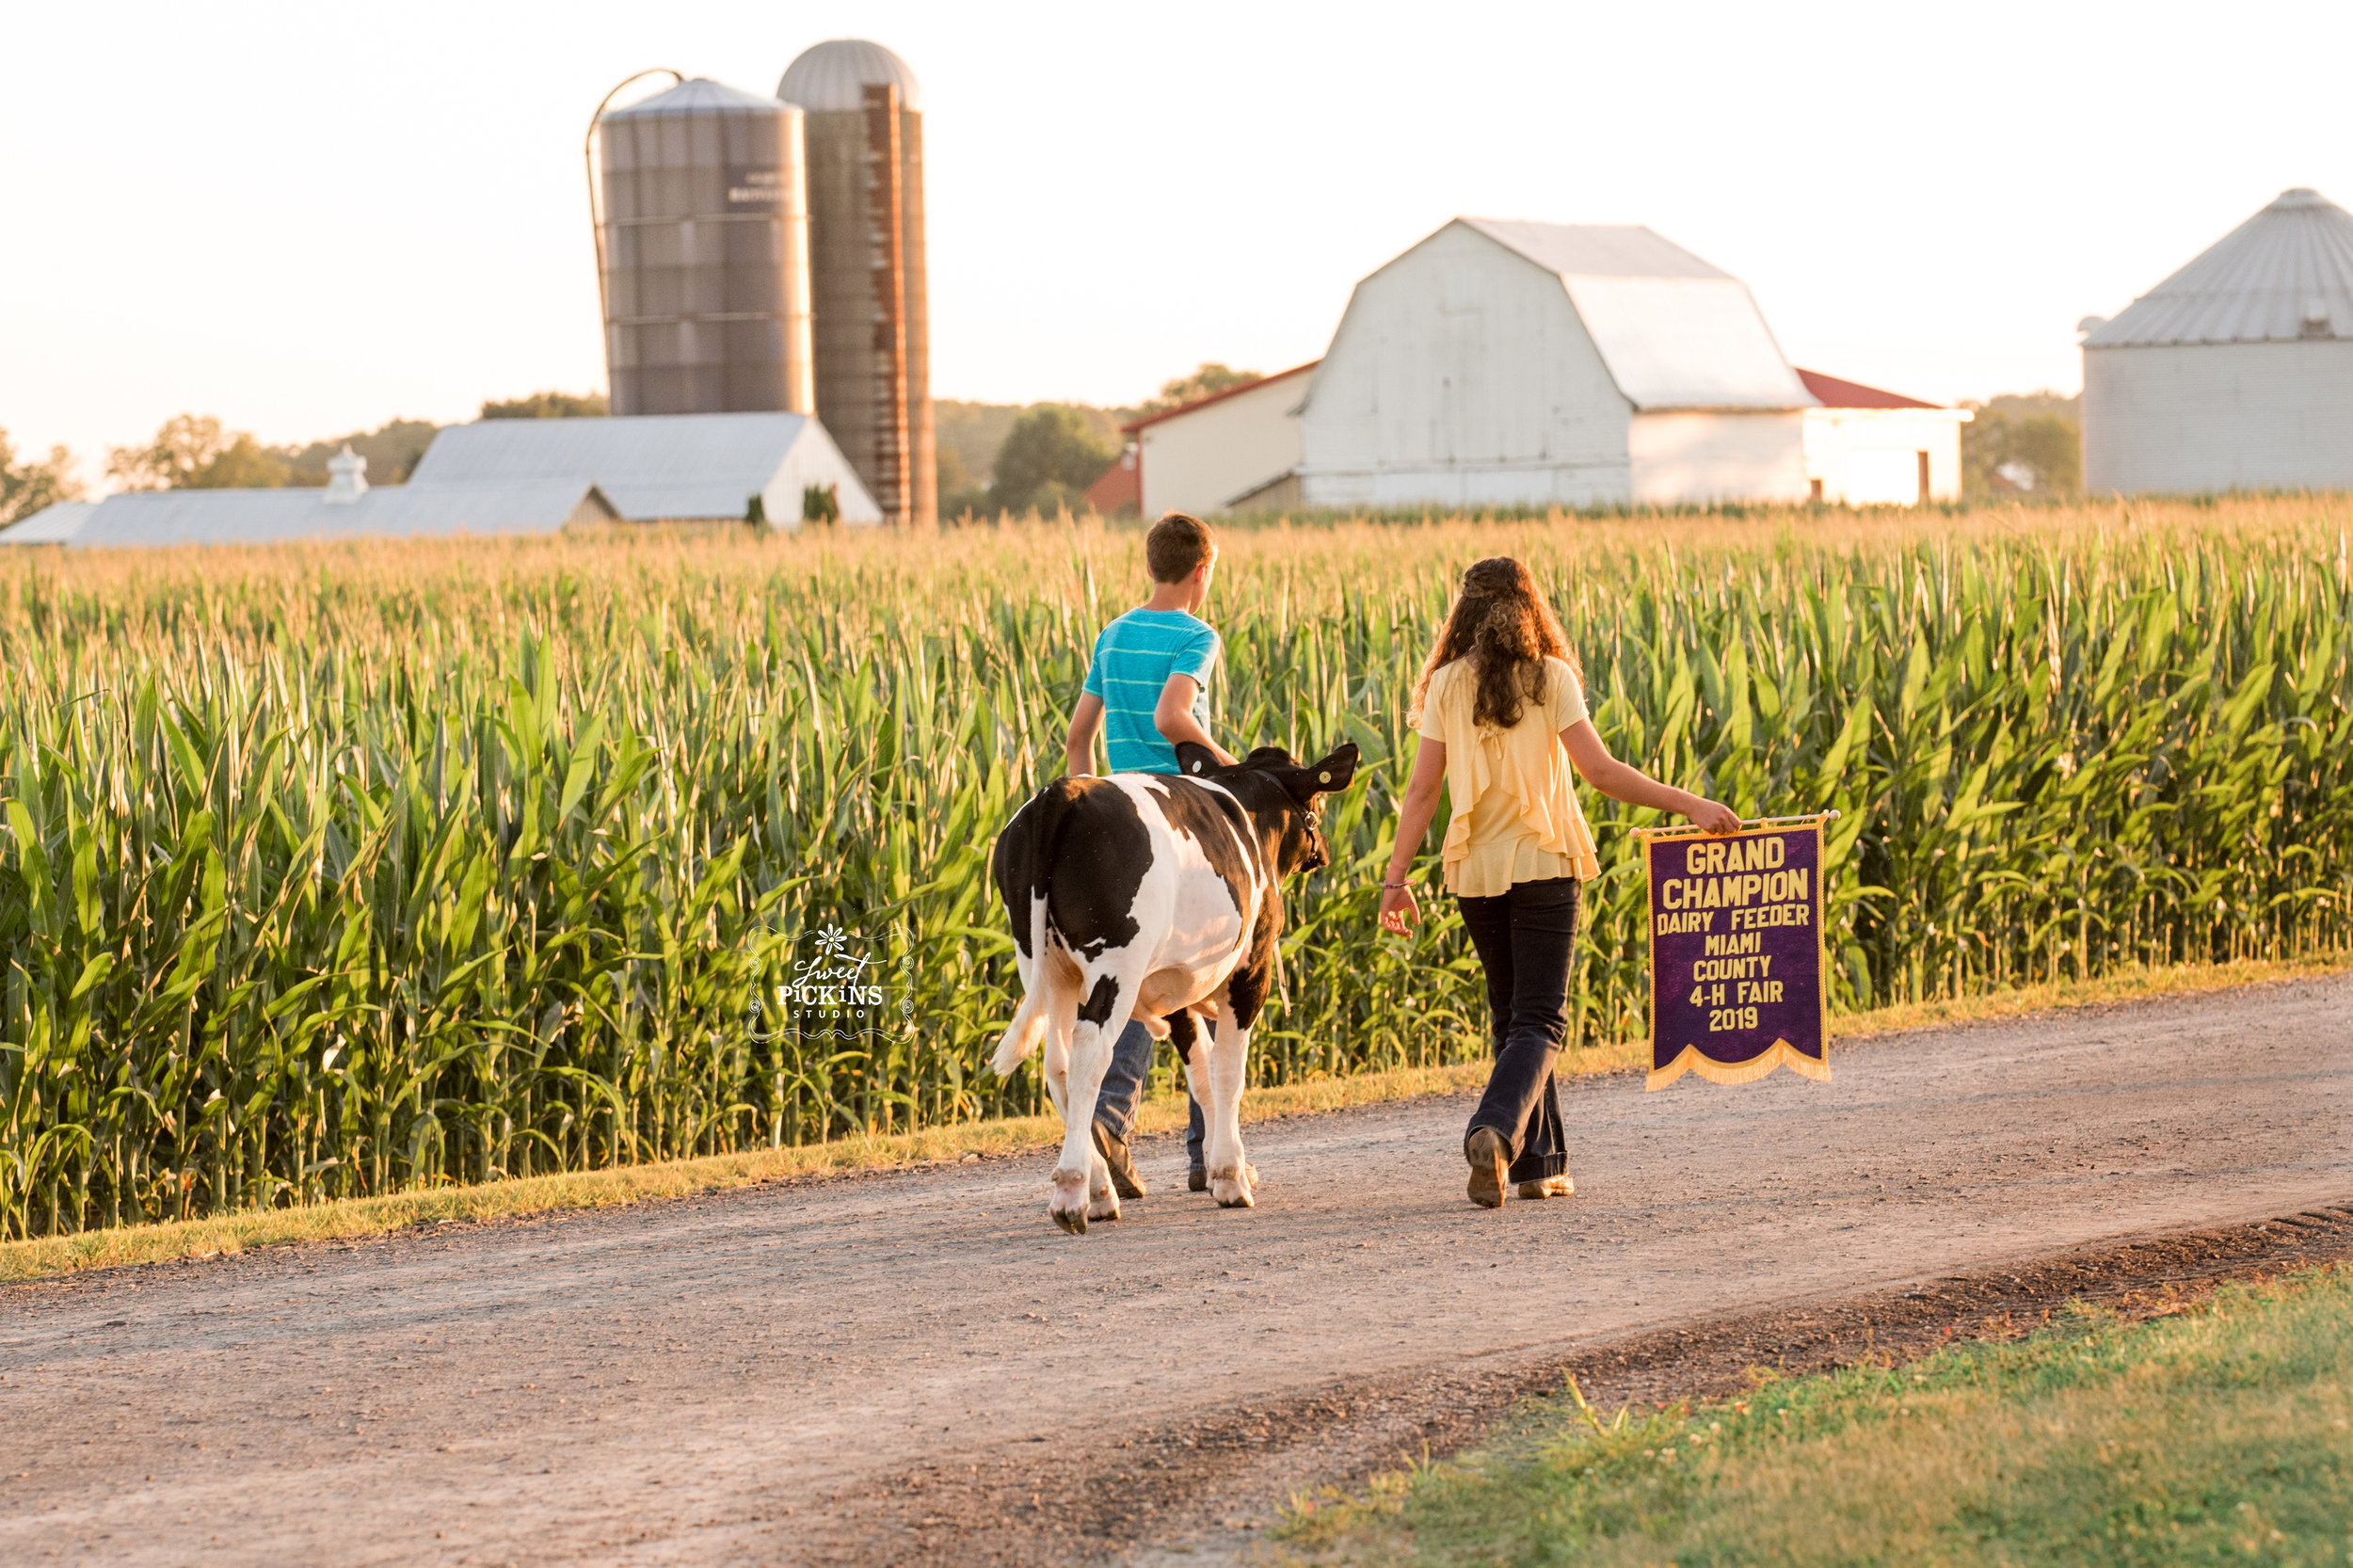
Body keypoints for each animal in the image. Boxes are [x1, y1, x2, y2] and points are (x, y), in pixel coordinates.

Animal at [988, 739, 1365, 1224]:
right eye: (1316, 801)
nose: (1325, 853)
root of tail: (1064, 791)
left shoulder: (1180, 987)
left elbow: (1201, 1076)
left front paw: (1222, 1170)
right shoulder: (1252, 973)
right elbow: (1228, 1072)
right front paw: (1231, 1178)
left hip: (1046, 966)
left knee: (1059, 1063)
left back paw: (1100, 1190)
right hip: (1117, 966)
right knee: (1091, 1051)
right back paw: (1072, 1192)